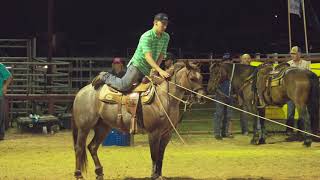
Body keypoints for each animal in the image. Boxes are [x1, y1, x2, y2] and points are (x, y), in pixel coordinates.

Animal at [72, 61, 205, 179]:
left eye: (201, 78)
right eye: (192, 78)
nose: (202, 98)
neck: (163, 98)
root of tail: (81, 92)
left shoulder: (167, 134)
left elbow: (161, 156)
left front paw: (159, 175)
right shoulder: (154, 133)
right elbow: (154, 155)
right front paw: (154, 176)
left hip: (103, 127)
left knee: (92, 147)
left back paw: (99, 173)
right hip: (84, 128)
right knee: (79, 148)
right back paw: (78, 175)